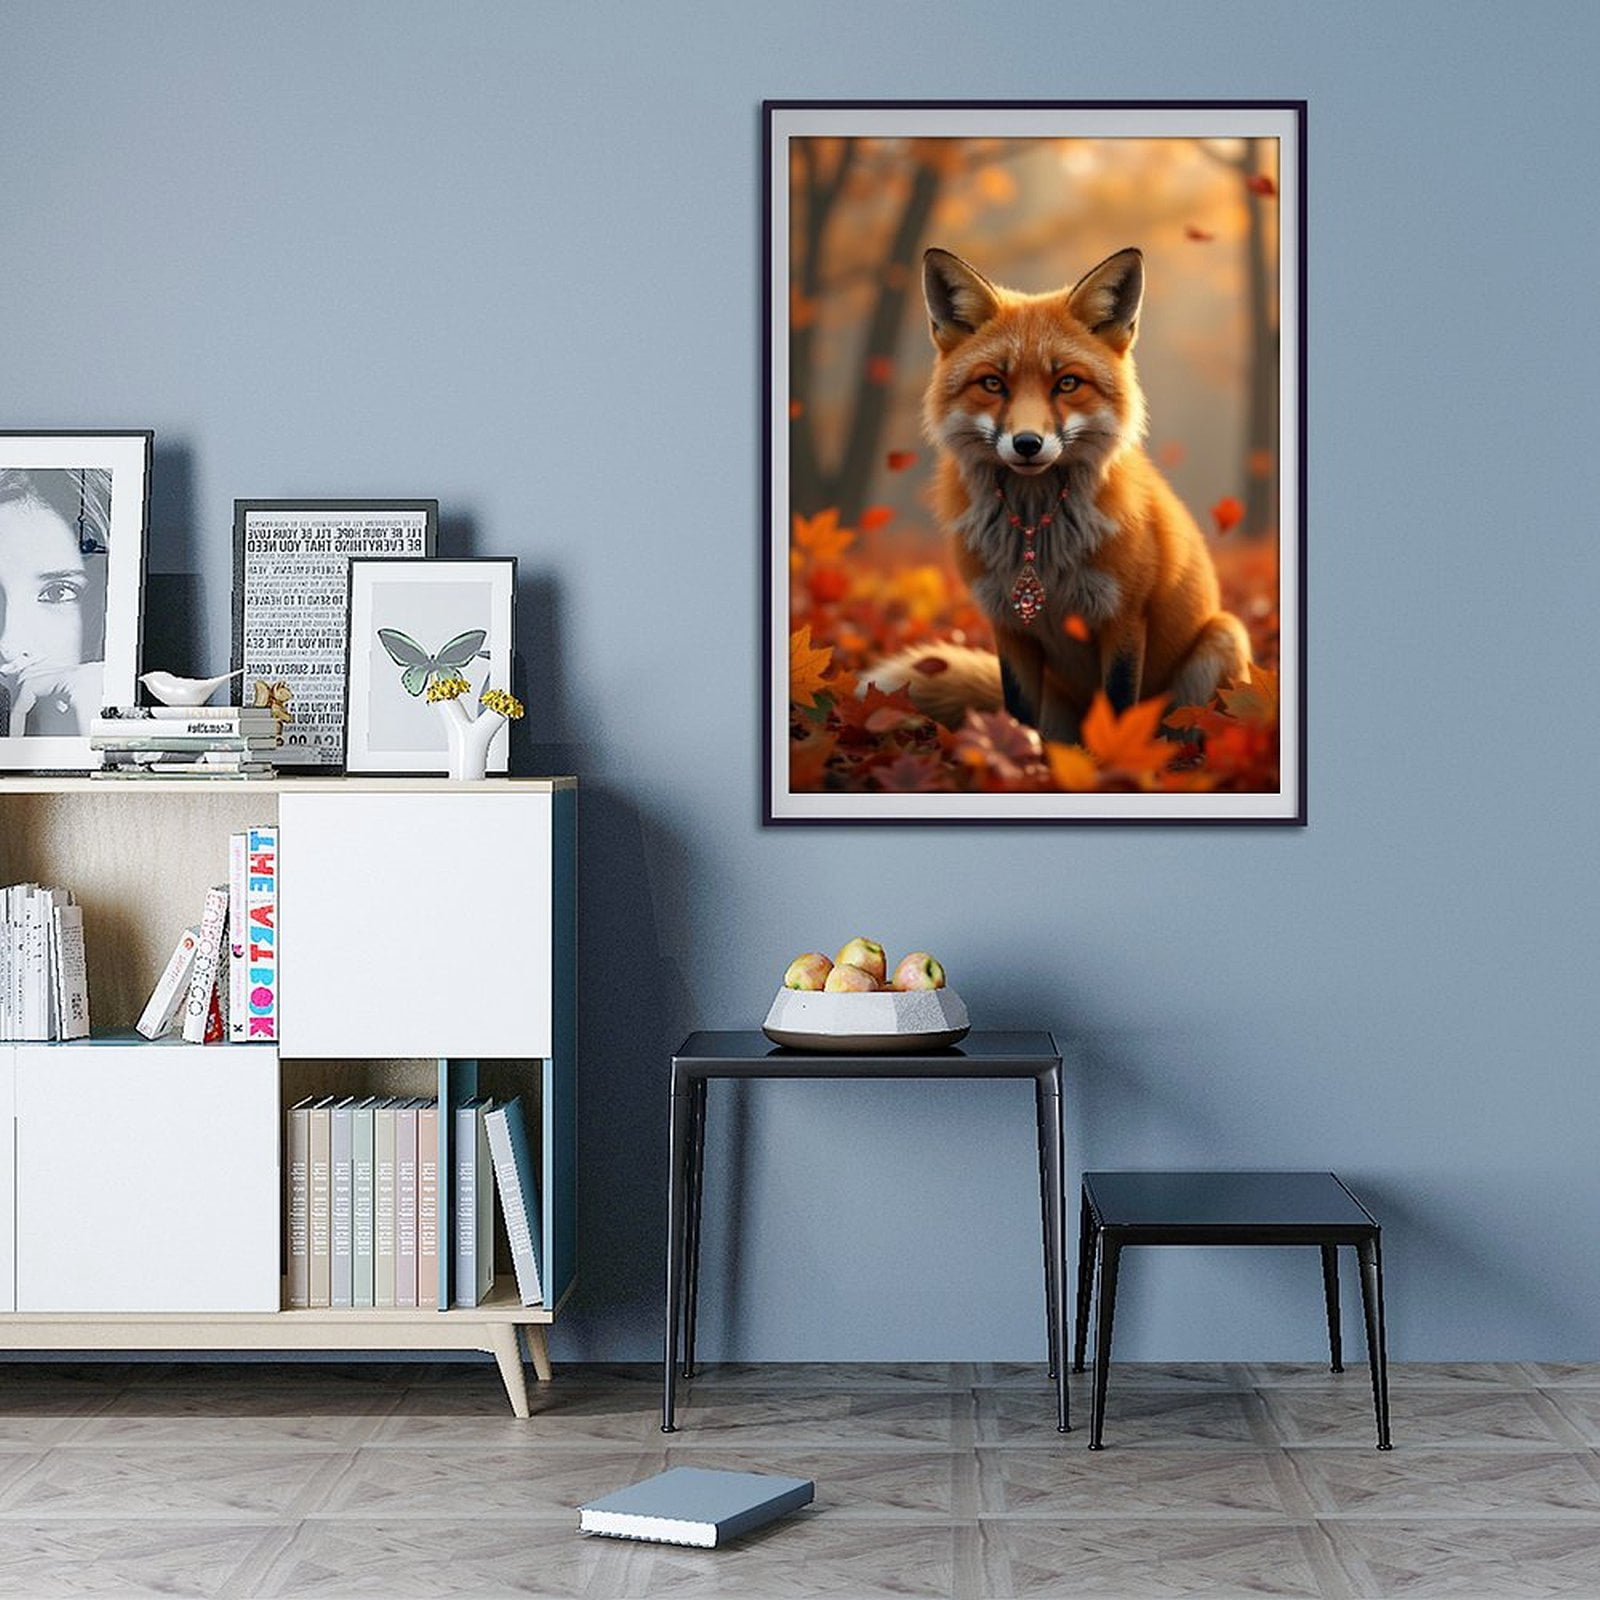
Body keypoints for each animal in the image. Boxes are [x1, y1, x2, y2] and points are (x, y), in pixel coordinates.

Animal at [872, 246, 1250, 746]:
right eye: (993, 383)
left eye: (1067, 383)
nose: (1027, 444)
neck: (1039, 539)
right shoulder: (1009, 625)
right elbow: (1017, 712)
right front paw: (1015, 756)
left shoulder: (1123, 618)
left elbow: (1118, 708)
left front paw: (1112, 759)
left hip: (1221, 643)